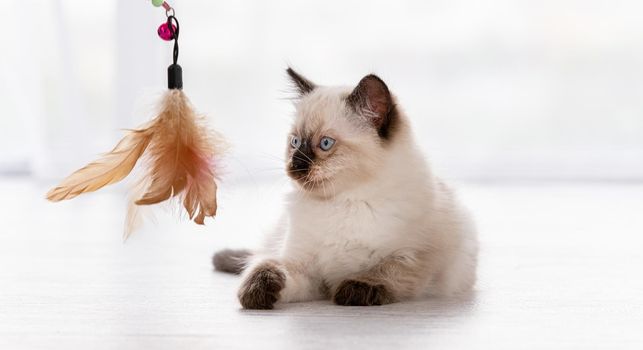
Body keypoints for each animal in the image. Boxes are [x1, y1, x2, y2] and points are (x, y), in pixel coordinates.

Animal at [215, 68, 478, 308]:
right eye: (295, 142)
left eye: (325, 144)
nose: (296, 165)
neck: (342, 201)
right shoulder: (307, 272)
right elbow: (268, 267)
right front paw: (256, 293)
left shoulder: (414, 255)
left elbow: (387, 270)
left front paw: (352, 292)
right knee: (257, 256)